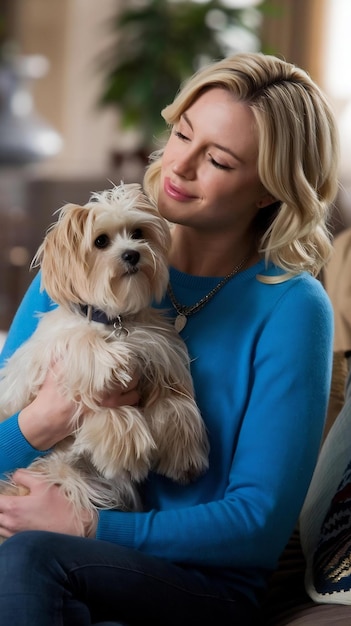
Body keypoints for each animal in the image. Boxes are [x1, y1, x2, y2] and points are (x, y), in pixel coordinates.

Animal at [0, 183, 209, 532]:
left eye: (138, 233)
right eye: (100, 241)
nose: (132, 254)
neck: (115, 321)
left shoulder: (158, 352)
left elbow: (175, 402)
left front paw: (185, 454)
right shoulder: (62, 356)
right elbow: (96, 373)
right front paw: (125, 444)